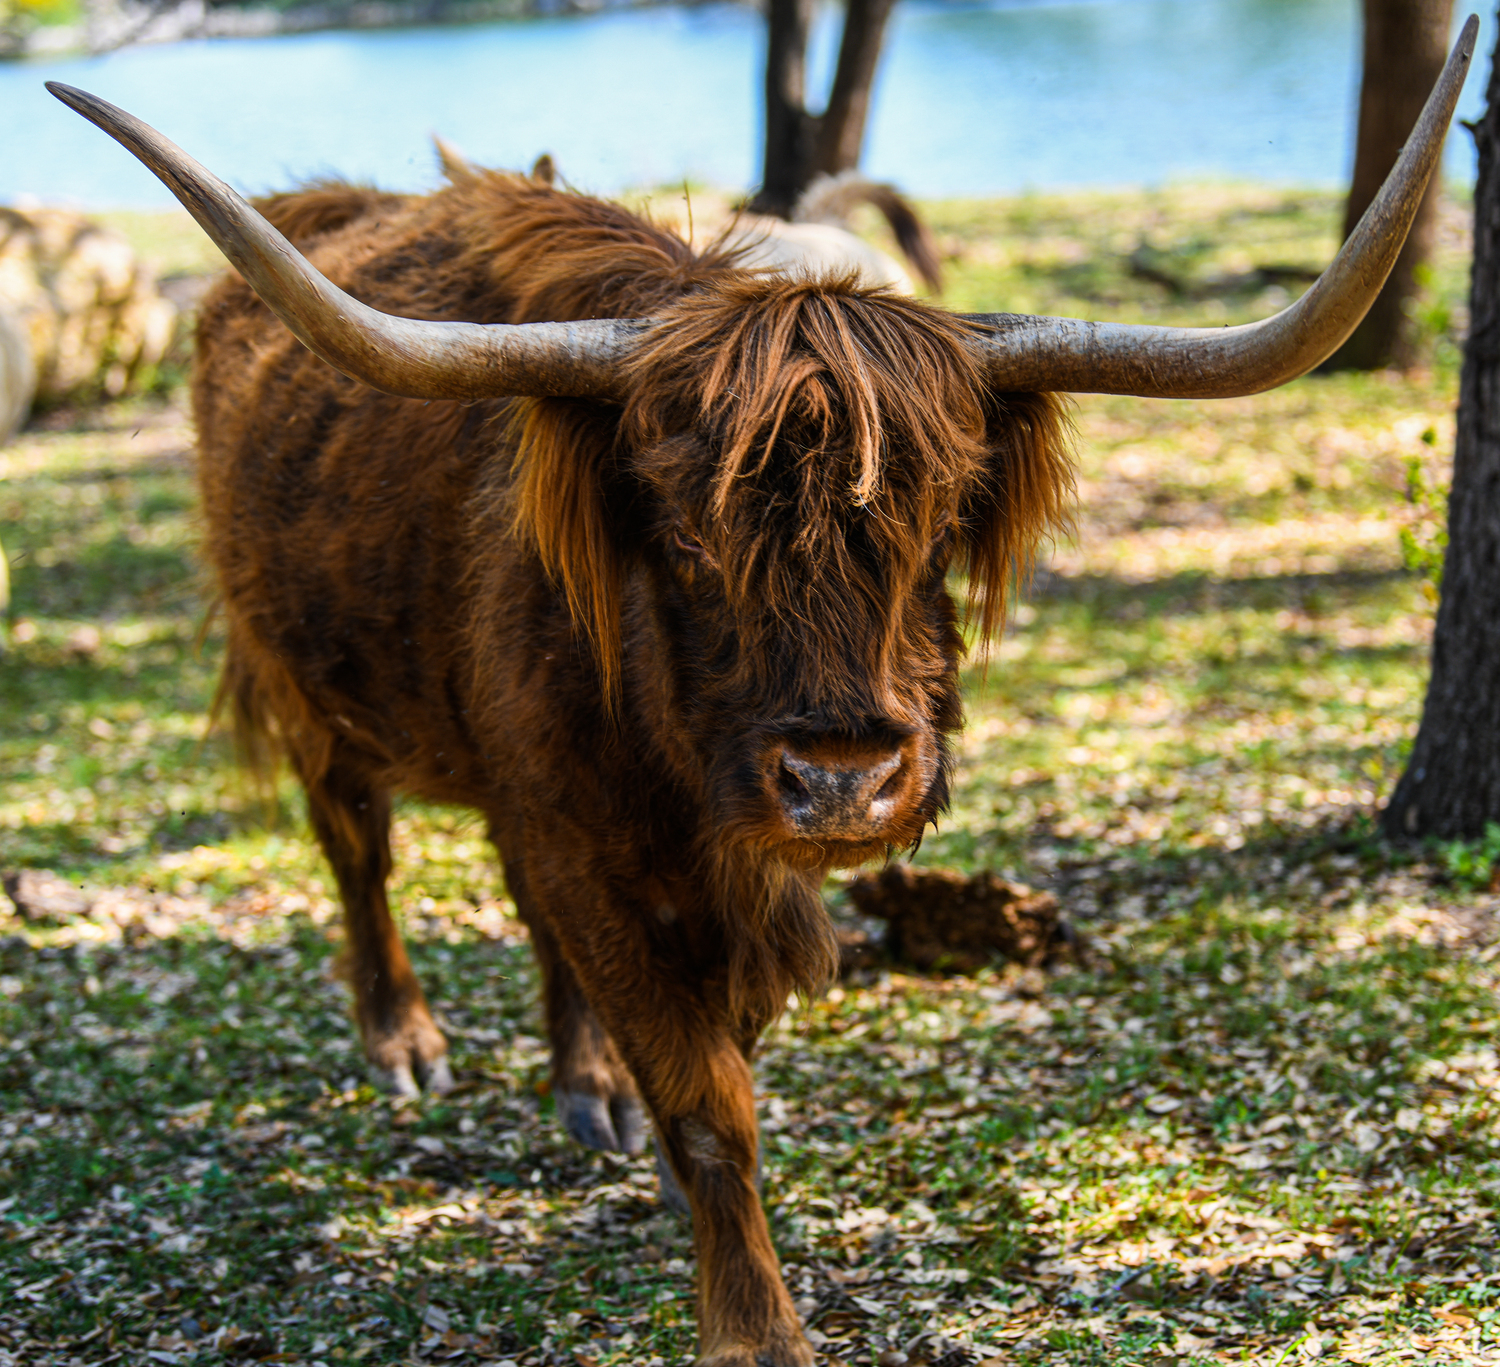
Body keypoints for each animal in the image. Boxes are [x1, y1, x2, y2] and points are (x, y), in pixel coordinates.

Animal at [48, 26, 1472, 1365]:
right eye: (684, 536)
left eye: (940, 527)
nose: (841, 779)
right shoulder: (585, 838)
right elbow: (707, 1098)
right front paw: (752, 1321)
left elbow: (708, 1040)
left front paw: (644, 1128)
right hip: (303, 682)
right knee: (358, 847)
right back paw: (406, 1042)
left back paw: (586, 1089)